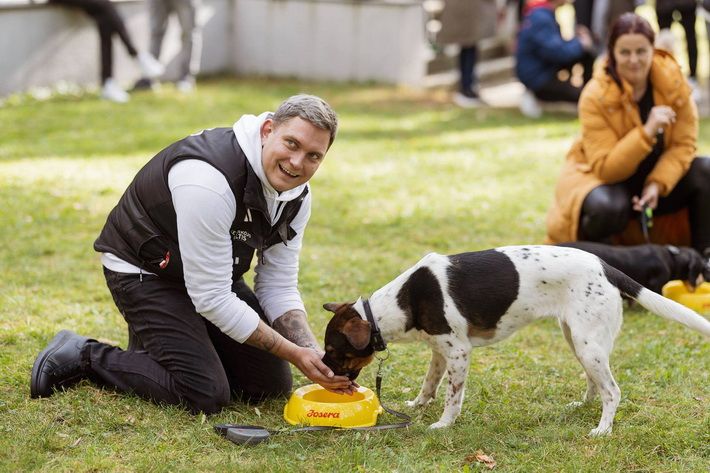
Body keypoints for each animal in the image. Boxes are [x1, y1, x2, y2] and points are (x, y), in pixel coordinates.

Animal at [324, 247, 710, 436]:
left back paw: (603, 429)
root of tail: (606, 266)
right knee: (596, 384)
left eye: (332, 351)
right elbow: (429, 385)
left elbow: (452, 398)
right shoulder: (439, 351)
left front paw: (443, 424)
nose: (322, 372)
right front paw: (418, 405)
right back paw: (583, 406)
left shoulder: (459, 353)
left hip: (587, 344)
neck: (398, 303)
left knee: (613, 391)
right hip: (579, 340)